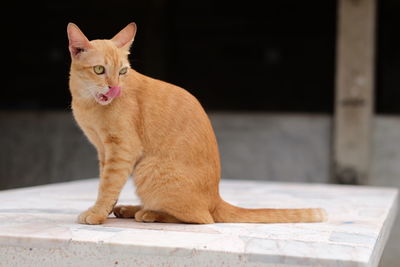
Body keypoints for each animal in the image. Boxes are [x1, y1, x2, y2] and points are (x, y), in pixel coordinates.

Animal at [67, 22, 326, 225]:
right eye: (99, 70)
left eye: (122, 72)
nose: (115, 88)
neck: (87, 104)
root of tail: (215, 198)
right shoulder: (103, 151)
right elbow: (107, 185)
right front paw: (106, 210)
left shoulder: (122, 150)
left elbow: (108, 185)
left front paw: (97, 214)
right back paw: (130, 209)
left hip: (147, 169)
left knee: (201, 218)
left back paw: (148, 213)